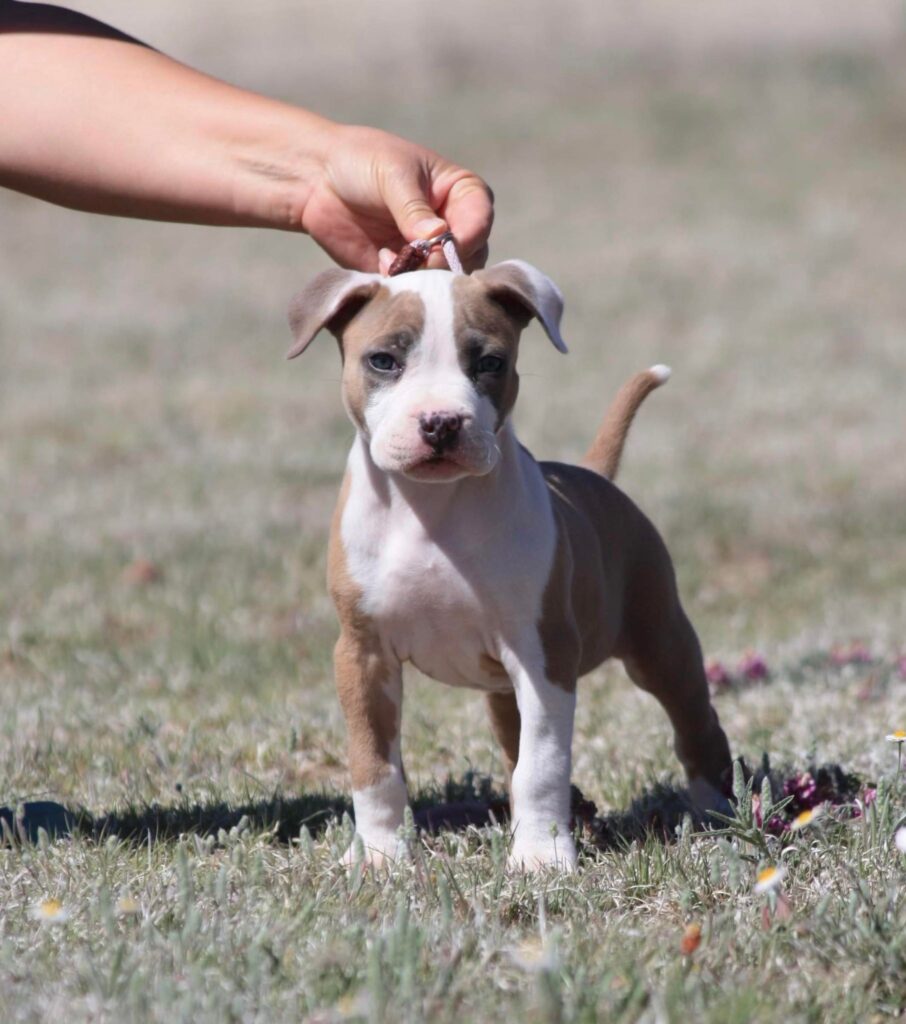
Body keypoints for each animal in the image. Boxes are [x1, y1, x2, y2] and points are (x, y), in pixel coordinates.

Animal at [286, 264, 732, 872]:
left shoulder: (544, 655)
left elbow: (540, 765)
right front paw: (379, 856)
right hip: (502, 689)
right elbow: (373, 764)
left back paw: (717, 813)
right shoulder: (363, 654)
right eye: (383, 360)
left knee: (695, 722)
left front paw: (542, 859)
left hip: (660, 641)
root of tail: (596, 477)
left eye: (490, 362)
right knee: (511, 739)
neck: (432, 510)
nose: (440, 422)